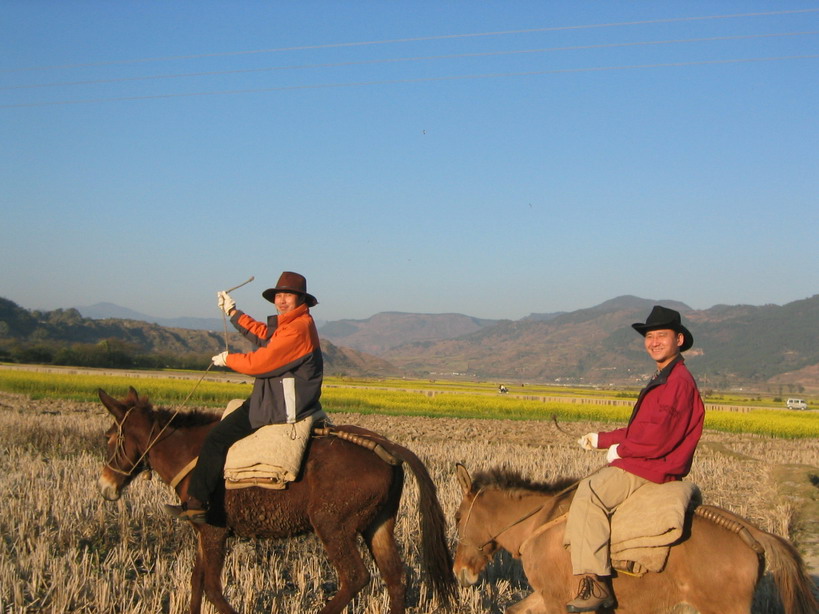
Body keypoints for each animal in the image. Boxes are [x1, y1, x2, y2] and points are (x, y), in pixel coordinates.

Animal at [98, 390, 458, 614]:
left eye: (110, 437)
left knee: (355, 577)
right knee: (395, 579)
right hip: (378, 525)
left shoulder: (213, 531)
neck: (192, 453)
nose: (105, 486)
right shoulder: (203, 532)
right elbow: (197, 584)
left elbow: (212, 588)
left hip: (332, 526)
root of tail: (386, 447)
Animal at [452, 466, 816, 614]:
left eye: (456, 517)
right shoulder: (545, 598)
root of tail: (751, 531)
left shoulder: (556, 600)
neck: (538, 523)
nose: (458, 571)